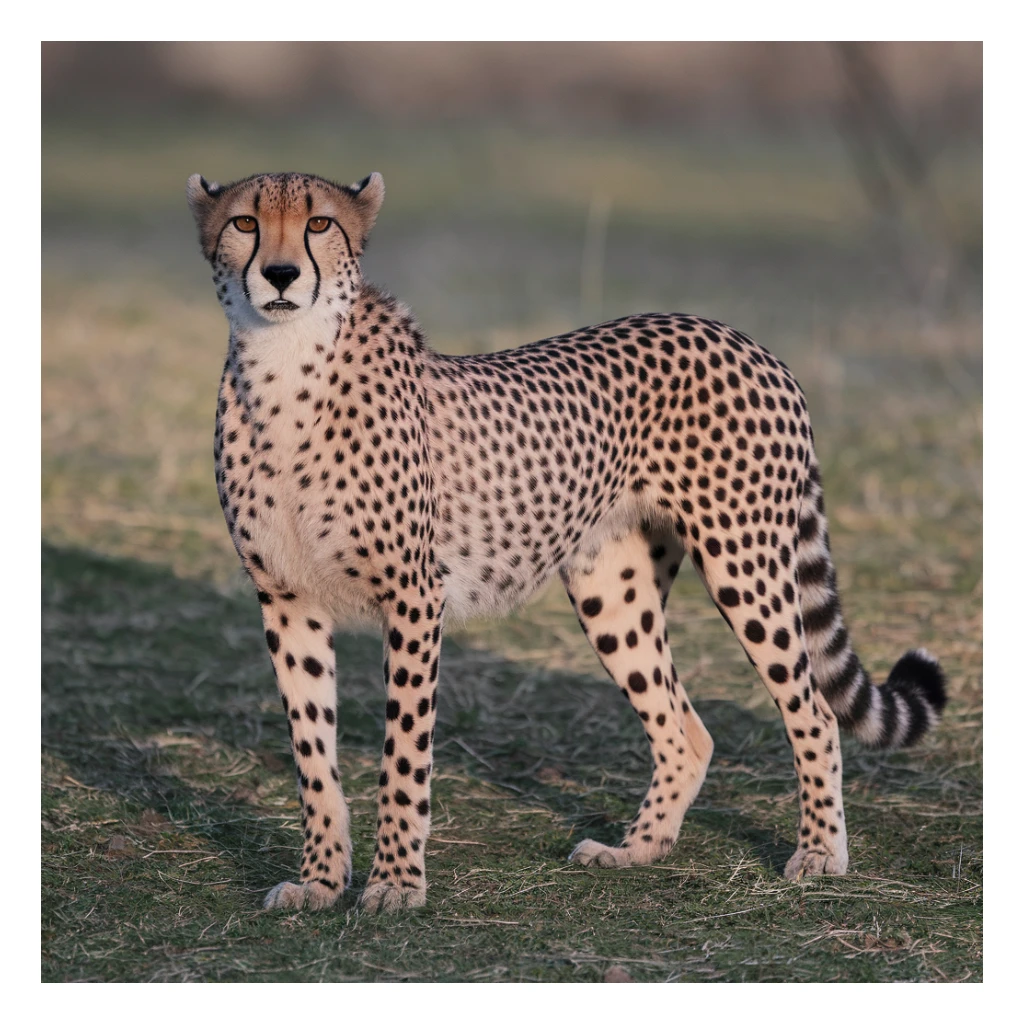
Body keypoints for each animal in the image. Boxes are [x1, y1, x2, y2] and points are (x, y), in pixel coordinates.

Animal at [186, 169, 947, 914]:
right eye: (246, 222)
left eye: (319, 223)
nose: (281, 274)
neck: (284, 369)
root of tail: (740, 337)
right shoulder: (286, 599)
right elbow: (312, 754)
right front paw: (319, 882)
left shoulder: (413, 598)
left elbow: (402, 756)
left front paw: (397, 884)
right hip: (613, 589)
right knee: (685, 728)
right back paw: (636, 849)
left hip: (745, 560)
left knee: (813, 711)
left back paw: (819, 853)